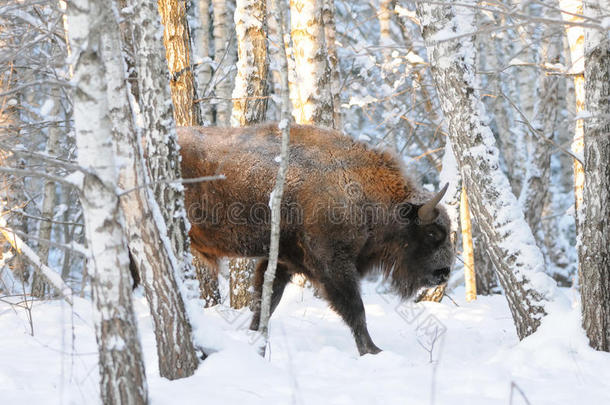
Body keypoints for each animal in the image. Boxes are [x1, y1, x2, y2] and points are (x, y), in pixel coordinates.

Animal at [176, 123, 452, 354]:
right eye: (431, 233)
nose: (444, 272)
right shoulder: (333, 264)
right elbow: (356, 308)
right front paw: (372, 351)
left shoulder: (283, 261)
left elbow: (266, 302)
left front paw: (255, 338)